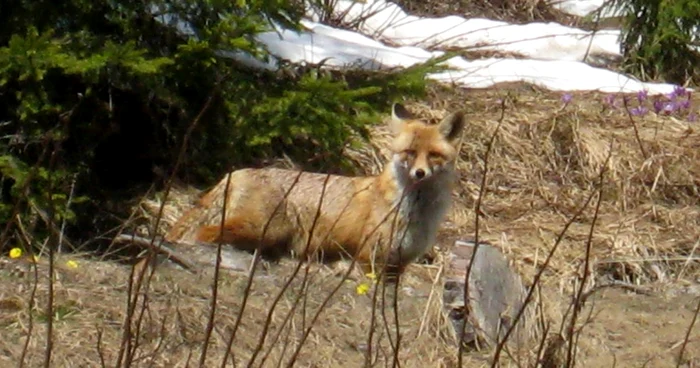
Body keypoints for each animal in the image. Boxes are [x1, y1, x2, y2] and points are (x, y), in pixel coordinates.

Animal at [165, 102, 464, 278]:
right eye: (409, 153)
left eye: (434, 155)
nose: (419, 174)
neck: (416, 215)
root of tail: (236, 172)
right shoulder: (370, 258)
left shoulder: (399, 264)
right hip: (261, 227)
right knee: (204, 233)